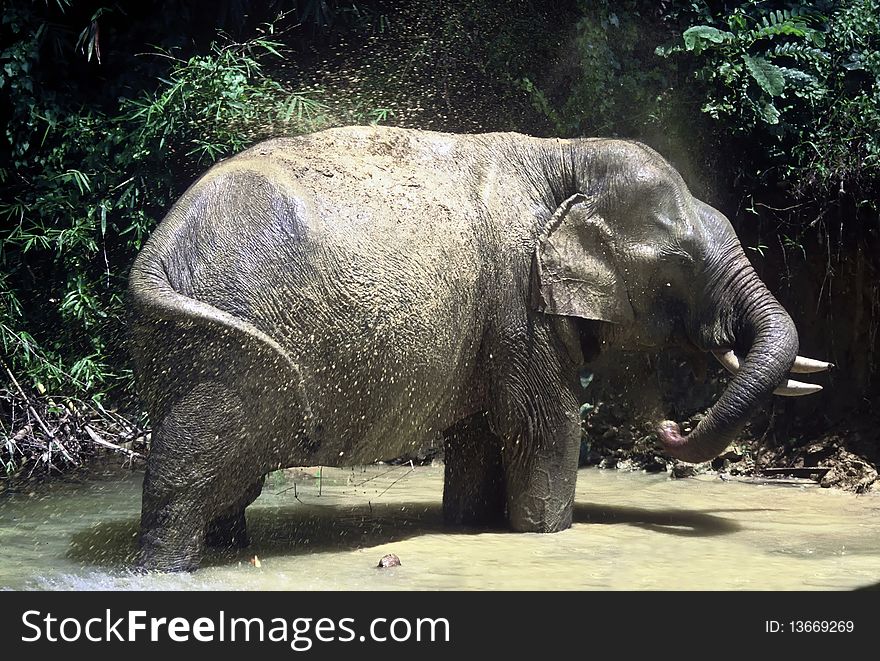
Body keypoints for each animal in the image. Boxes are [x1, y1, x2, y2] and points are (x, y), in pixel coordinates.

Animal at [127, 126, 828, 568]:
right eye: (677, 267)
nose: (671, 425)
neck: (563, 156)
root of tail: (154, 252)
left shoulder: (491, 318)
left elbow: (479, 432)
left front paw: (468, 527)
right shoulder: (519, 299)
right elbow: (543, 422)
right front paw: (545, 535)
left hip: (180, 346)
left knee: (227, 478)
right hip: (215, 352)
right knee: (192, 468)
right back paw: (162, 568)